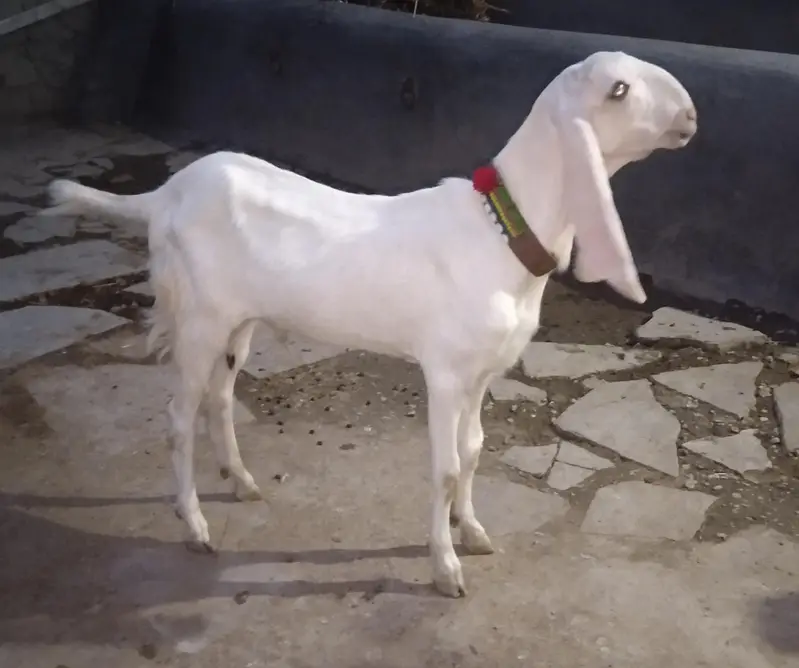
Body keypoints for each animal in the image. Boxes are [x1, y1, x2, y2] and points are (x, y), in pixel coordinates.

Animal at [42, 51, 697, 597]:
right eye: (618, 90)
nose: (690, 115)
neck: (497, 232)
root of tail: (162, 196)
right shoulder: (445, 370)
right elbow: (446, 467)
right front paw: (445, 568)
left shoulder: (483, 370)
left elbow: (475, 451)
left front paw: (472, 531)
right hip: (198, 314)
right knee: (179, 416)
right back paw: (195, 525)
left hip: (238, 317)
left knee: (220, 396)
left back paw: (242, 480)